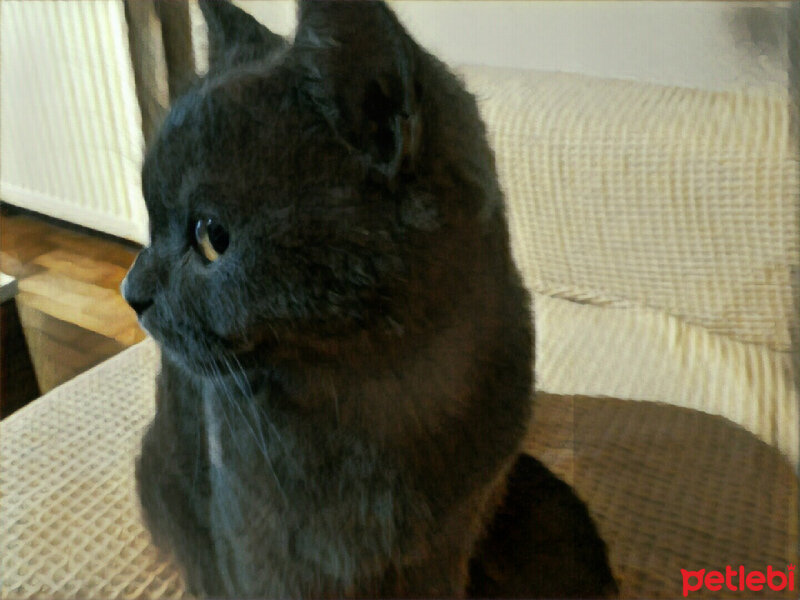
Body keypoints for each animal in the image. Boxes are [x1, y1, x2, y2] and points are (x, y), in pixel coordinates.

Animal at [122, 2, 616, 596]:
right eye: (151, 219)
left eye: (211, 237)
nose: (131, 292)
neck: (382, 400)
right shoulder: (258, 542)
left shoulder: (446, 545)